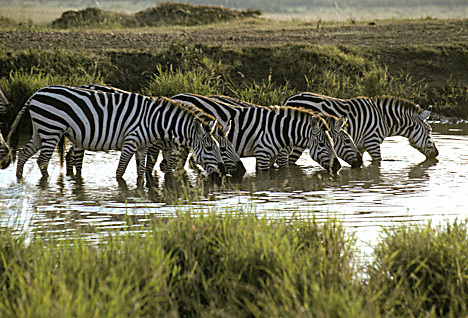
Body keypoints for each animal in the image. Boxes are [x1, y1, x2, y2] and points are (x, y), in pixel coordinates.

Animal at [0, 85, 227, 185]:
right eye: (210, 148)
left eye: (218, 147)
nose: (221, 174)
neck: (156, 121)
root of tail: (36, 93)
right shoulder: (131, 141)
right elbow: (120, 171)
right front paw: (121, 191)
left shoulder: (142, 146)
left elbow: (140, 172)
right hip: (51, 129)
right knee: (42, 162)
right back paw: (46, 184)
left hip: (41, 131)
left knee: (24, 154)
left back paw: (19, 179)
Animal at [70, 84, 245, 178]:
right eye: (223, 149)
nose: (242, 171)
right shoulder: (153, 147)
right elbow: (149, 168)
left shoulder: (168, 149)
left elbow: (168, 170)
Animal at [168, 94, 340, 173]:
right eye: (323, 144)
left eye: (333, 143)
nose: (338, 167)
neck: (281, 130)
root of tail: (175, 97)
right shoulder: (267, 153)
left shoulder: (271, 155)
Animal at [282, 91, 438, 161]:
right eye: (429, 131)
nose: (437, 154)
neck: (384, 119)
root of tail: (288, 100)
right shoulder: (372, 142)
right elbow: (378, 163)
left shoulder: (361, 146)